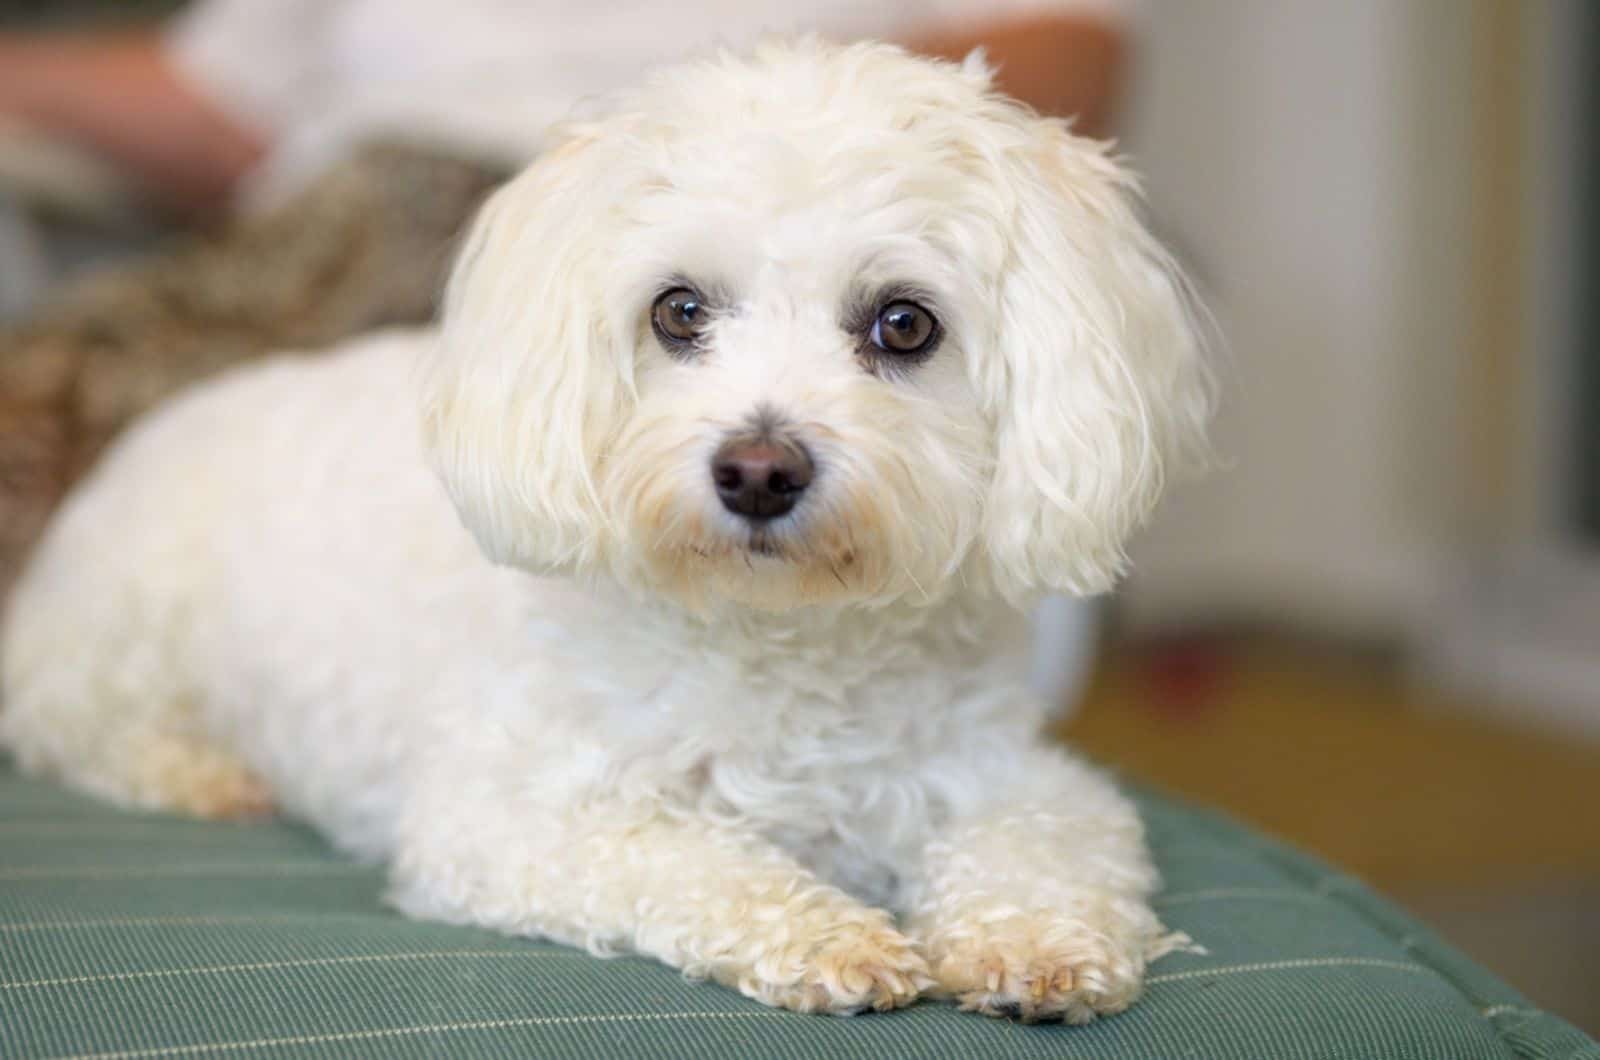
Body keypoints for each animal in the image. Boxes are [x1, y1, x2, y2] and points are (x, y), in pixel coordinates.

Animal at [0, 39, 1209, 1024]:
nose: (758, 472)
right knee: (71, 725)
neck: (778, 636)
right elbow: (692, 858)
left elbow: (1049, 842)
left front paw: (1036, 940)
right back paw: (201, 773)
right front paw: (827, 932)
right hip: (120, 638)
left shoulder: (1005, 770)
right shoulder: (506, 816)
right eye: (679, 310)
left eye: (904, 325)